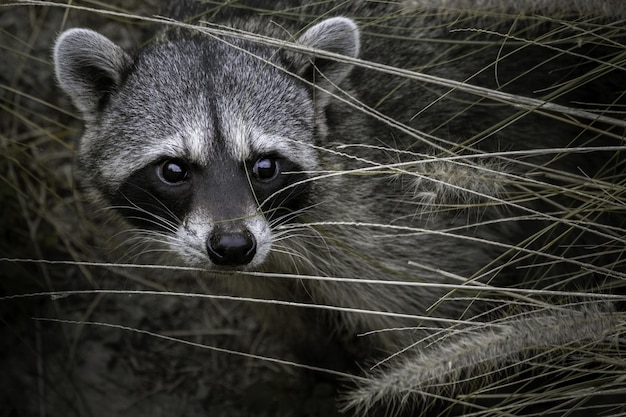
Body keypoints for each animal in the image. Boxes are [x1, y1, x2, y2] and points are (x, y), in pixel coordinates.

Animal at [53, 0, 624, 414]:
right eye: (173, 170)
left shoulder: (402, 234)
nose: (233, 246)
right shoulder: (250, 267)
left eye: (265, 166)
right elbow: (297, 326)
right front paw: (321, 376)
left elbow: (443, 336)